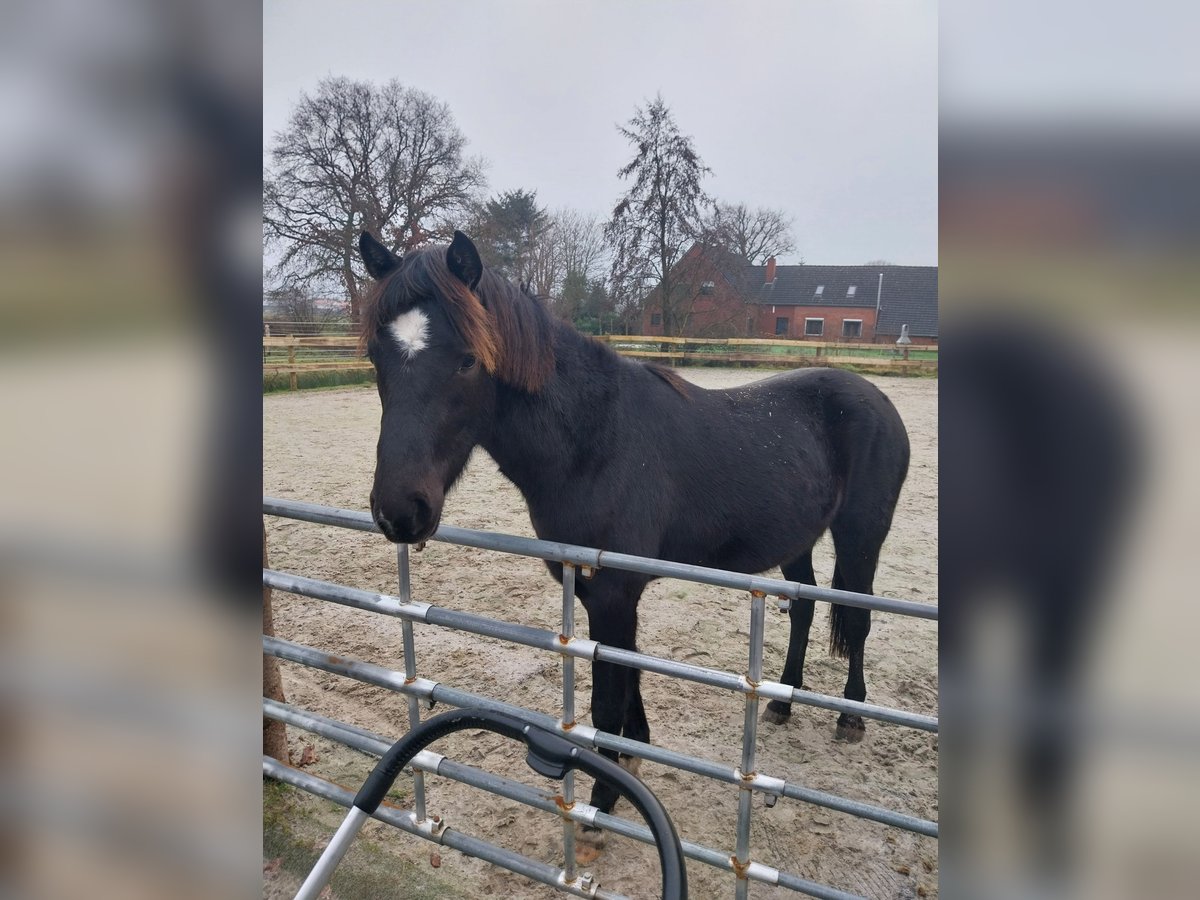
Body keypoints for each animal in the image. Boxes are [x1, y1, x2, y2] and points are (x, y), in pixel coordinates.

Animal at [357, 229, 907, 849]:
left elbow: (607, 699)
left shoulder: (615, 593)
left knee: (857, 618)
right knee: (805, 610)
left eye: (468, 361)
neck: (594, 441)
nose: (400, 510)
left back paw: (851, 716)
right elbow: (629, 673)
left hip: (861, 536)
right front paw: (632, 758)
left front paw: (601, 801)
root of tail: (873, 395)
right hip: (799, 542)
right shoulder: (597, 591)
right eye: (376, 357)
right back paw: (784, 702)